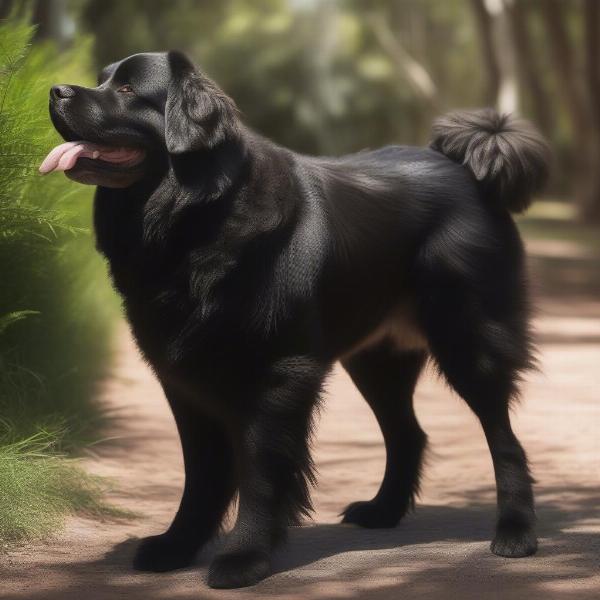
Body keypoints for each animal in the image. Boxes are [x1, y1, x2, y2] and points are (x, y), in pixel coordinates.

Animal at [43, 52, 548, 592]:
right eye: (101, 79)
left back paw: (515, 534)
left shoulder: (277, 374)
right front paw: (178, 545)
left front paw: (244, 557)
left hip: (468, 342)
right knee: (408, 433)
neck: (196, 219)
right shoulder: (183, 378)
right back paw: (383, 511)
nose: (55, 90)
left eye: (129, 89)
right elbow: (201, 475)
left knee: (504, 440)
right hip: (376, 361)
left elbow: (260, 473)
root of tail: (467, 169)